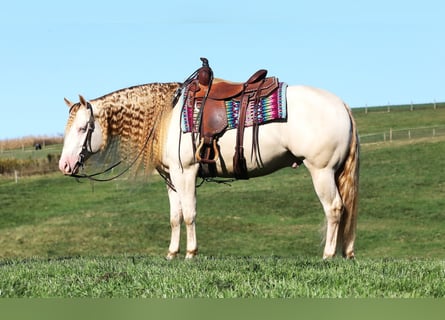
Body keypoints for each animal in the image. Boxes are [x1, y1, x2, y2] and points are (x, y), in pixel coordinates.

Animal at [59, 77, 360, 260]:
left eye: (83, 128)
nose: (64, 165)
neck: (166, 116)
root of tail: (342, 105)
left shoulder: (186, 172)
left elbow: (190, 214)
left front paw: (191, 253)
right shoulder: (171, 178)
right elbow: (175, 217)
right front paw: (172, 253)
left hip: (322, 171)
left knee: (334, 209)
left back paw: (328, 255)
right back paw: (345, 253)